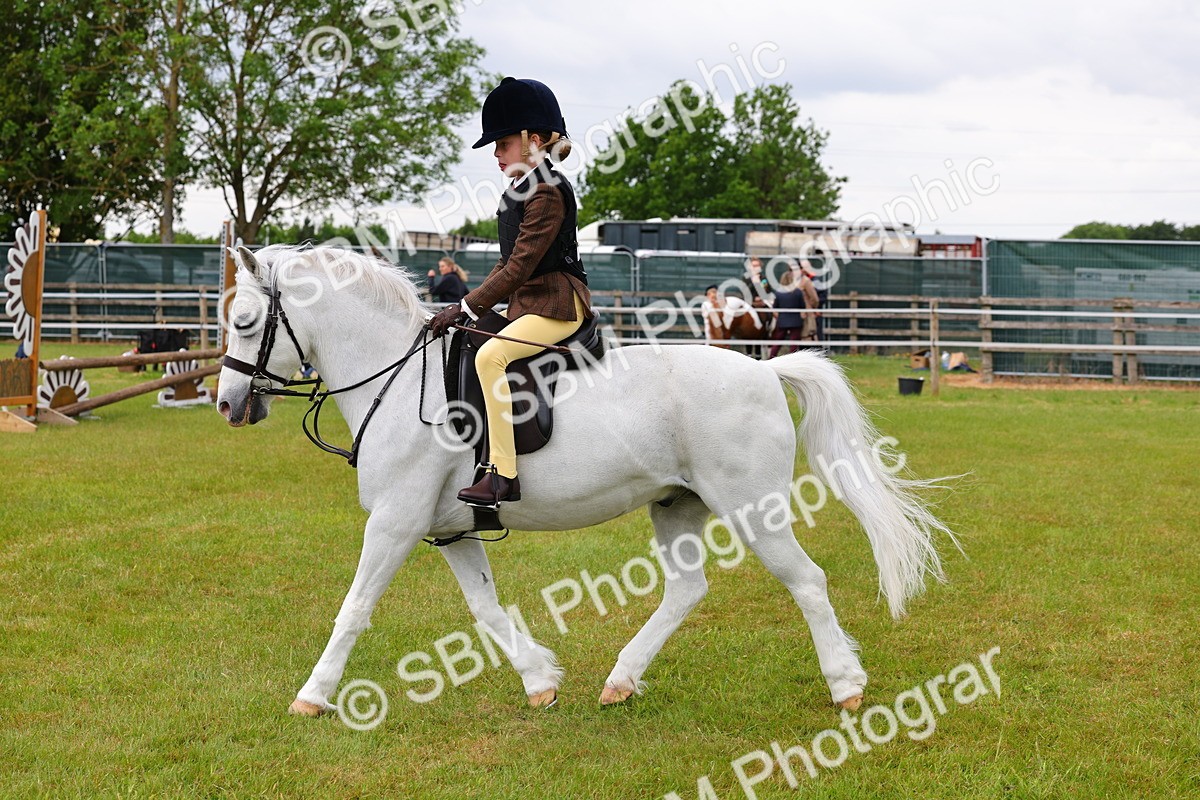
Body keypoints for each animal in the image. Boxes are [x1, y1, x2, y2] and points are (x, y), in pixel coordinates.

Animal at [216, 245, 955, 717]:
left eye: (245, 321)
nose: (227, 404)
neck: (396, 378)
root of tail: (764, 369)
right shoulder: (450, 530)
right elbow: (486, 609)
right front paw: (540, 680)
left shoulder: (395, 522)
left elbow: (355, 608)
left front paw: (312, 696)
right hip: (678, 504)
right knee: (687, 589)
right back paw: (621, 681)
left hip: (754, 508)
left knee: (806, 582)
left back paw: (846, 686)